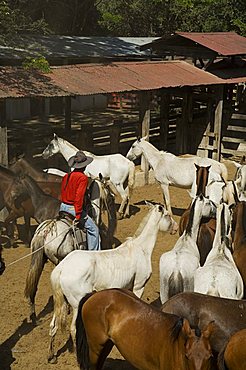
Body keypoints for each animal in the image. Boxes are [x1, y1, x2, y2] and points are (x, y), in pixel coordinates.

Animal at [24, 173, 117, 324]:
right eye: (108, 192)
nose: (113, 200)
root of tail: (45, 232)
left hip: (39, 260)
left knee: (33, 285)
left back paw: (33, 316)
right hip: (59, 259)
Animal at [47, 201, 177, 362]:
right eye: (167, 215)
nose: (176, 228)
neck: (141, 249)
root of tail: (62, 268)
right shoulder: (139, 286)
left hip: (61, 302)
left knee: (53, 326)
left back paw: (51, 356)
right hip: (77, 304)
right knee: (73, 329)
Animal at [76, 290, 214, 370]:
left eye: (209, 356)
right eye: (187, 356)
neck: (175, 346)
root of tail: (95, 294)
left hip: (107, 344)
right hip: (95, 347)